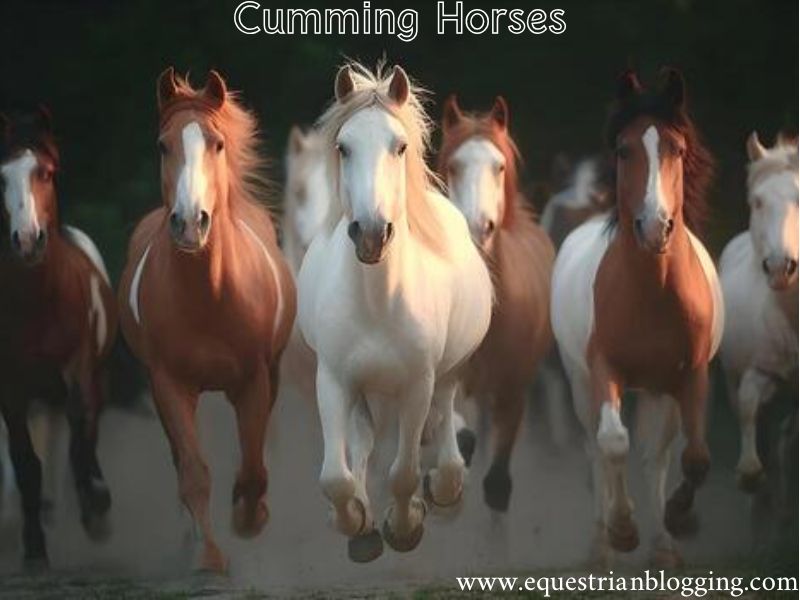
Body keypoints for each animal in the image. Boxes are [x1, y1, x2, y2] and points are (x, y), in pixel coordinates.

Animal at [0, 107, 116, 566]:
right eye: (1, 177)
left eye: (45, 172)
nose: (27, 240)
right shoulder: (13, 388)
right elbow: (25, 462)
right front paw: (34, 550)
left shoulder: (78, 368)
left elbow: (81, 433)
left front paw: (97, 508)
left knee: (85, 427)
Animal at [118, 68, 296, 573]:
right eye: (163, 145)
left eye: (216, 143)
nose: (188, 223)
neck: (209, 297)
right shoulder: (169, 384)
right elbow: (194, 470)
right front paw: (207, 555)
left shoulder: (254, 379)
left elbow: (253, 464)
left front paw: (249, 519)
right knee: (180, 459)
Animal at [297, 62, 493, 563]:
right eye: (343, 147)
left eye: (399, 146)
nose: (370, 232)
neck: (377, 303)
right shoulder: (333, 380)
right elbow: (335, 477)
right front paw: (354, 519)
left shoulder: (417, 385)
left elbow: (403, 472)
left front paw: (405, 526)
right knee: (364, 441)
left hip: (448, 372)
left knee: (443, 416)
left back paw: (445, 485)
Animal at [550, 68, 723, 567]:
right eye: (625, 150)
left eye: (677, 149)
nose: (655, 226)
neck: (653, 294)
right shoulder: (604, 368)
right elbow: (612, 444)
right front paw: (623, 529)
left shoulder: (691, 374)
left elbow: (694, 458)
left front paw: (679, 517)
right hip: (580, 380)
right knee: (596, 450)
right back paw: (601, 545)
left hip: (657, 391)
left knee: (656, 458)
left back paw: (664, 544)